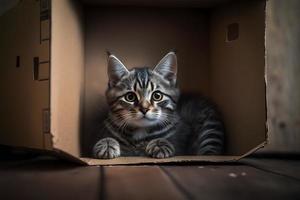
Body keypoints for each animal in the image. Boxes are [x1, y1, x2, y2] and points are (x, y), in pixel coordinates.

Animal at [92, 51, 224, 159]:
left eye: (157, 96)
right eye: (130, 97)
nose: (144, 109)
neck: (140, 133)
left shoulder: (182, 141)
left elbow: (173, 143)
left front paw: (160, 143)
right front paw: (107, 143)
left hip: (210, 127)